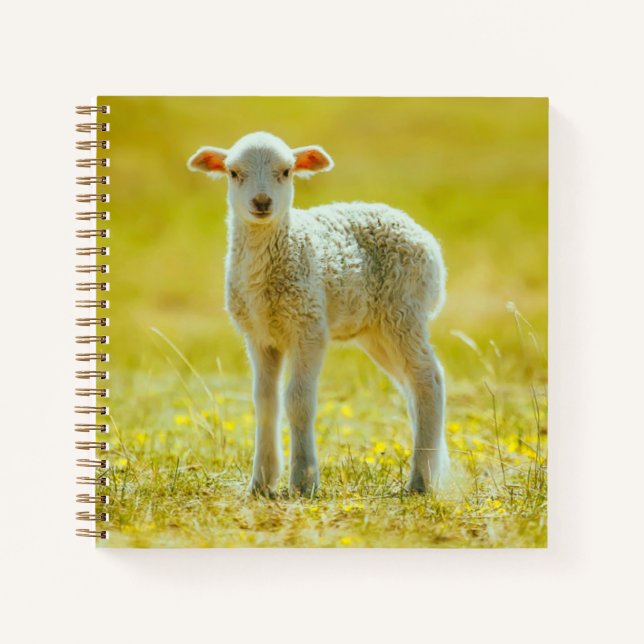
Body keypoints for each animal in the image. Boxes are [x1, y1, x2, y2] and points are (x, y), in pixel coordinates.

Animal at [188, 131, 449, 496]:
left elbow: (298, 401)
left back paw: (420, 481)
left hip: (404, 310)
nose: (262, 202)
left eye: (287, 171)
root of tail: (423, 235)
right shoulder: (259, 335)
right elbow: (265, 402)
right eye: (233, 173)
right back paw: (432, 468)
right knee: (411, 385)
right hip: (376, 330)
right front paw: (261, 481)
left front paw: (303, 481)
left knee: (428, 379)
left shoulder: (309, 327)